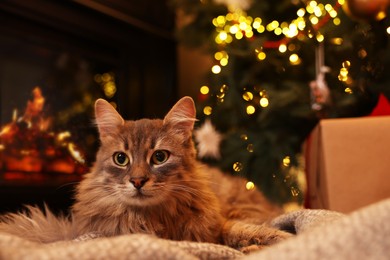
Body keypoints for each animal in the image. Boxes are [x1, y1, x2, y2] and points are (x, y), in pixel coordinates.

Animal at [0, 97, 290, 252]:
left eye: (159, 157)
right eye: (121, 159)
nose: (137, 181)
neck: (151, 218)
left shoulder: (220, 224)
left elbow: (246, 231)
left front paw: (282, 242)